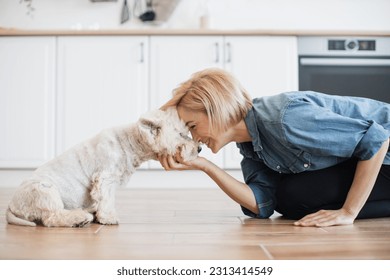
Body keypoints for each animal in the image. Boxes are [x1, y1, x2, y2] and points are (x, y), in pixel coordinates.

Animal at [6, 107, 200, 228]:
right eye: (181, 134)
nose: (199, 149)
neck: (130, 142)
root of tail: (12, 206)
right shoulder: (105, 177)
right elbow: (107, 199)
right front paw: (108, 218)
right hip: (45, 192)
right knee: (52, 217)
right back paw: (80, 218)